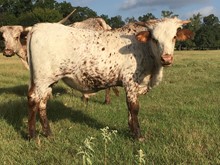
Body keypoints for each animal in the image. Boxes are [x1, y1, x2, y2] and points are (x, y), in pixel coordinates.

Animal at [26, 17, 193, 141]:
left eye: (174, 37)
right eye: (154, 39)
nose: (166, 58)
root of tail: (37, 27)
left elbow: (130, 109)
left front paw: (131, 130)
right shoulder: (130, 81)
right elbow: (134, 107)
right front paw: (138, 136)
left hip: (49, 81)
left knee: (43, 103)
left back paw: (48, 133)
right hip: (41, 79)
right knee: (33, 100)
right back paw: (33, 135)